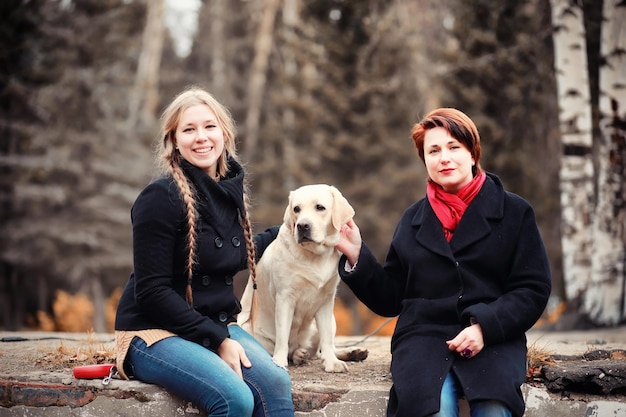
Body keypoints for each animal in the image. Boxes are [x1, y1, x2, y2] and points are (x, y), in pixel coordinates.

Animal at [238, 184, 366, 372]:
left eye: (320, 207)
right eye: (296, 209)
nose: (302, 226)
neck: (313, 255)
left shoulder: (326, 300)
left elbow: (326, 339)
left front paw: (332, 363)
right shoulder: (285, 298)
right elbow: (282, 336)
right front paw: (279, 362)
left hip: (331, 320)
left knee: (321, 350)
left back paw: (352, 352)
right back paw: (298, 355)